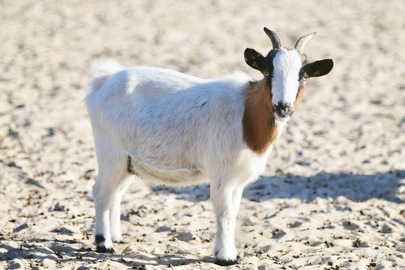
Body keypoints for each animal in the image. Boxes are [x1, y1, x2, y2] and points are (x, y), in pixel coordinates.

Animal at [84, 28, 332, 266]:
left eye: (303, 76)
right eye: (268, 72)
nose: (283, 107)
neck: (246, 116)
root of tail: (103, 81)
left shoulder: (237, 180)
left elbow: (234, 213)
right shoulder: (222, 174)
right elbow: (226, 215)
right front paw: (226, 258)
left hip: (128, 161)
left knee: (115, 194)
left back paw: (117, 237)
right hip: (111, 153)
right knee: (101, 192)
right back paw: (104, 243)